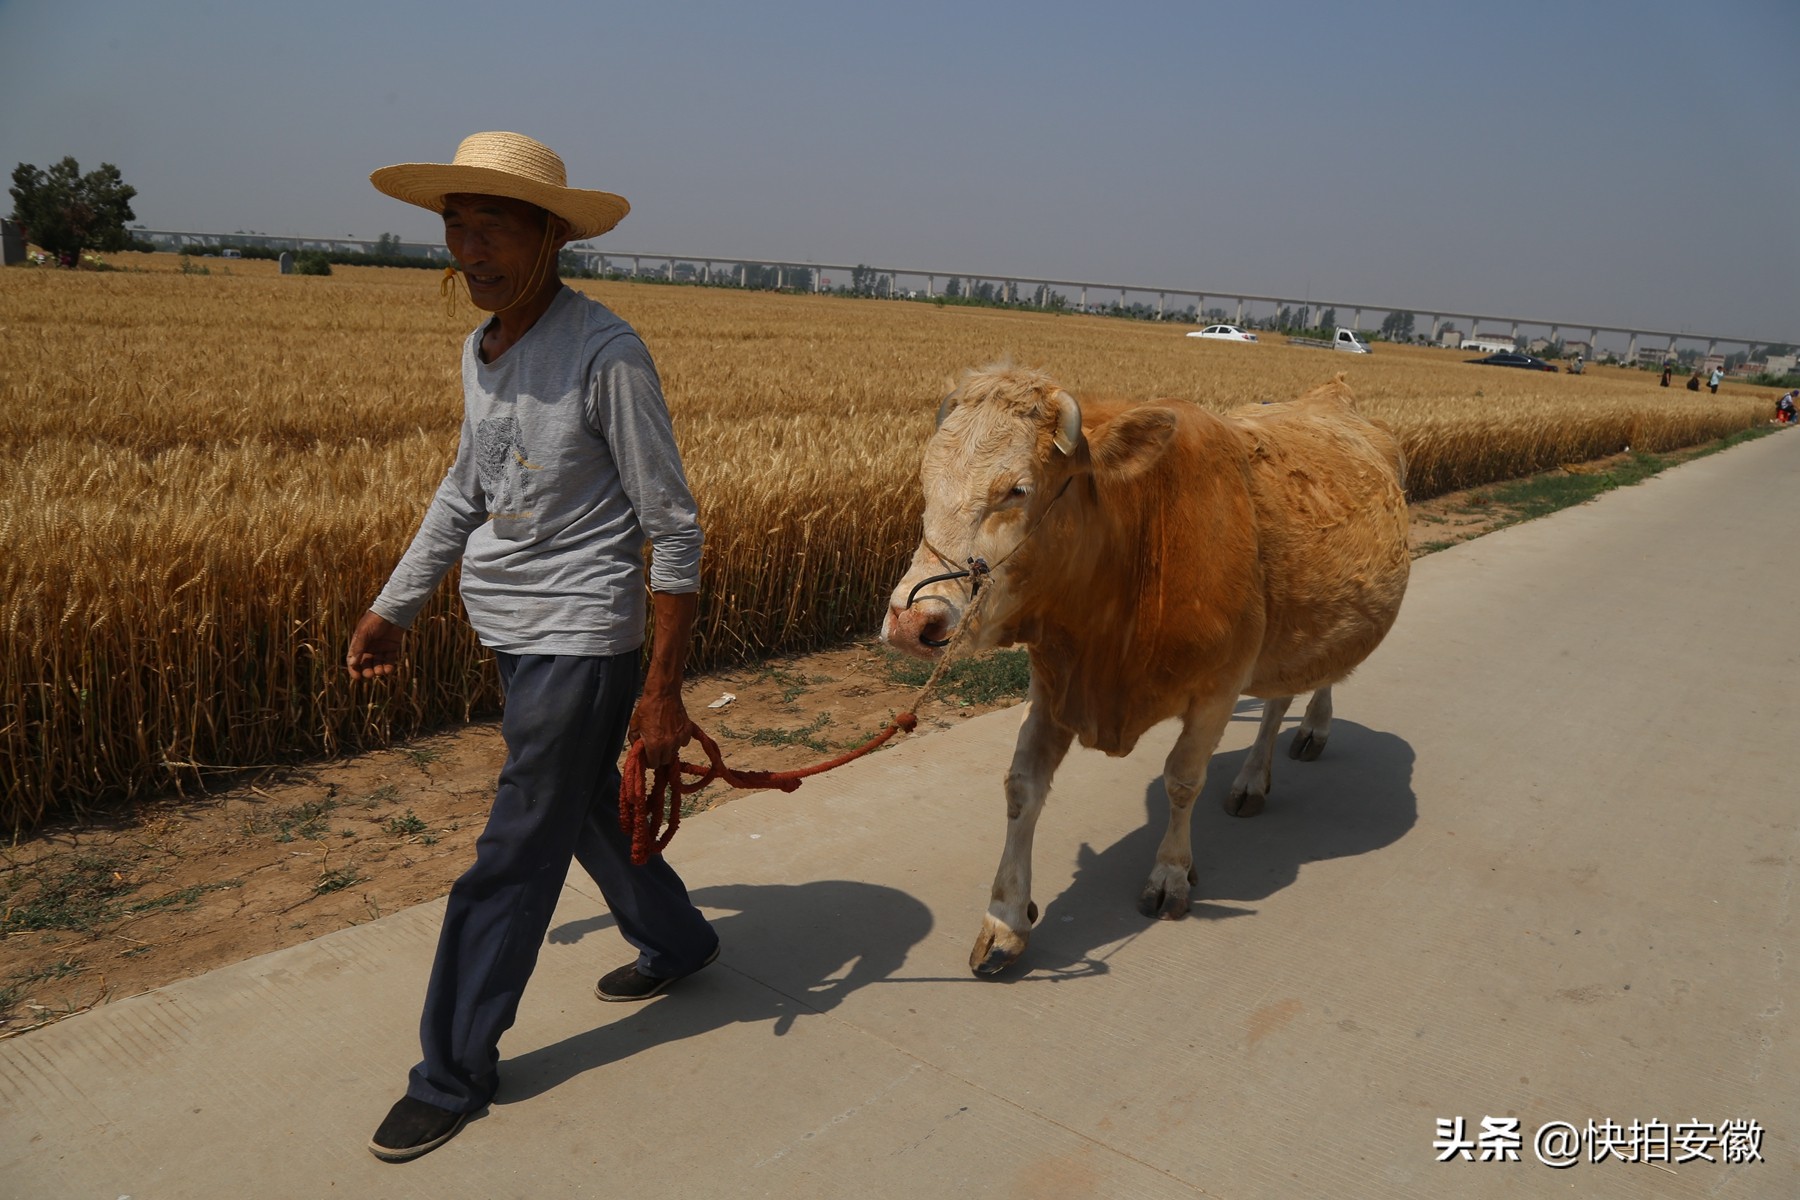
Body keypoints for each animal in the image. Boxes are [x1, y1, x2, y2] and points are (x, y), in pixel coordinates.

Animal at [882, 367, 1404, 978]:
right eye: (925, 481)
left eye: (1017, 490)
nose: (911, 620)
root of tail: (1332, 392)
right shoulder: (1054, 684)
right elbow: (1022, 787)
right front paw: (1006, 919)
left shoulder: (1219, 688)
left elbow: (1182, 780)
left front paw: (1171, 873)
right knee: (1280, 697)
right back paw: (1256, 776)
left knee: (1308, 686)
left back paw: (1302, 738)